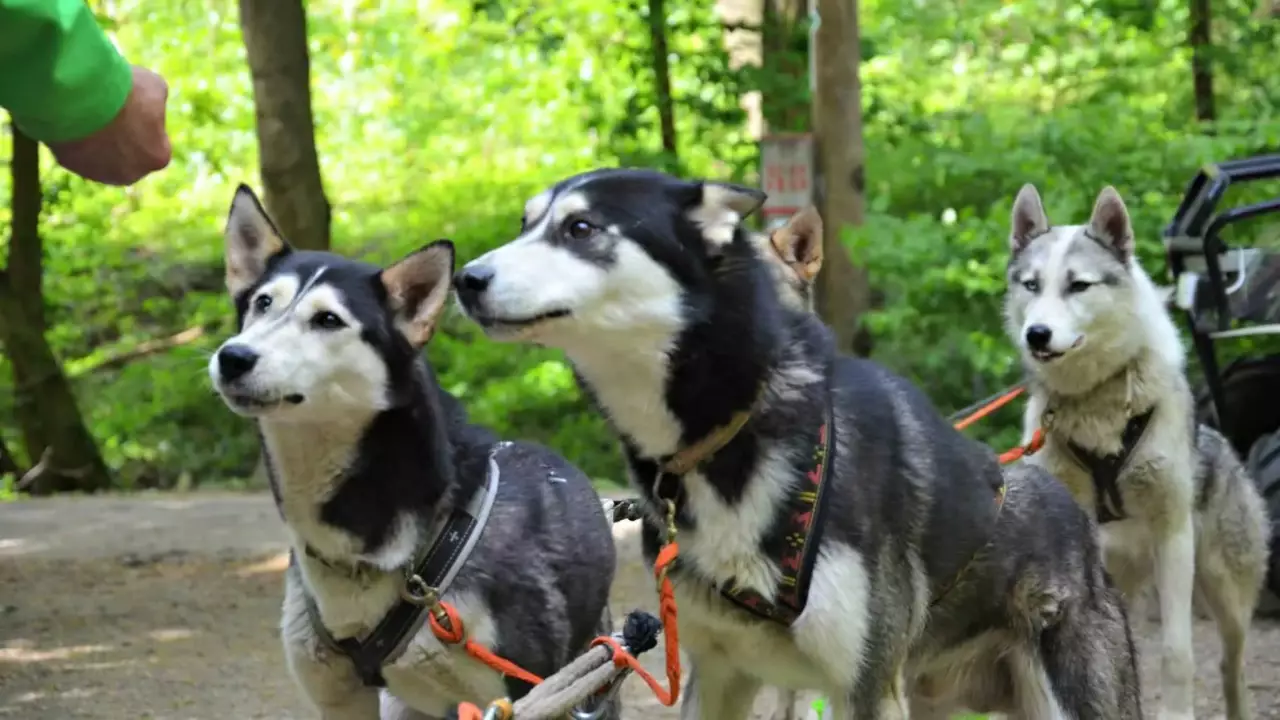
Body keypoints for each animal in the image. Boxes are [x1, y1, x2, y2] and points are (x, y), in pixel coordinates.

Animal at [453, 169, 1141, 717]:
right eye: (525, 224)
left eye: (581, 228)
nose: (466, 277)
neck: (733, 431)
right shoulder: (719, 674)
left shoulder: (866, 688)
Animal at [1008, 183, 1269, 717]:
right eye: (1031, 285)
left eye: (1078, 285)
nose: (1036, 334)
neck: (1096, 404)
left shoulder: (1173, 536)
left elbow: (1176, 652)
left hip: (1227, 596)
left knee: (1230, 668)